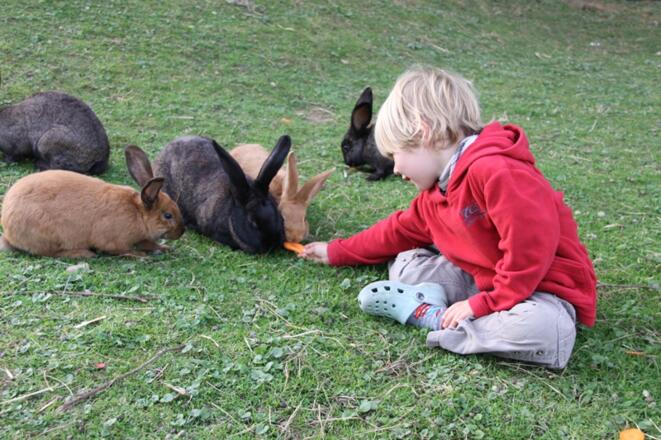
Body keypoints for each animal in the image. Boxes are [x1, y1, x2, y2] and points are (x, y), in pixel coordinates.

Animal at [0, 145, 184, 258]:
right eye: (167, 215)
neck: (138, 213)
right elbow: (124, 250)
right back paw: (83, 254)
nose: (181, 232)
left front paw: (165, 248)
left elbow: (149, 243)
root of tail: (8, 230)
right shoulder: (115, 242)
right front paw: (141, 256)